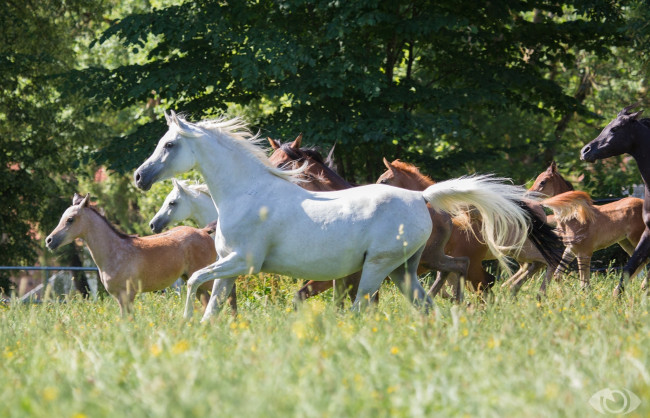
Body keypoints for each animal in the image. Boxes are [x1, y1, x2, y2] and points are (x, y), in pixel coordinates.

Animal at [43, 194, 235, 316]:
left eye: (70, 219)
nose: (49, 240)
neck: (114, 252)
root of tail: (203, 231)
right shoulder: (119, 297)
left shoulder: (127, 295)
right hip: (192, 279)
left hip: (204, 276)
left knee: (228, 291)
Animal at [135, 111, 532, 320]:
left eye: (169, 144)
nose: (140, 177)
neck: (247, 194)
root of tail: (421, 197)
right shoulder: (228, 266)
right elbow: (212, 302)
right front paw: (199, 328)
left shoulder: (240, 262)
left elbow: (192, 281)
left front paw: (185, 320)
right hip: (404, 270)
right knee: (426, 304)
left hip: (377, 267)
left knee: (360, 308)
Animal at [374, 158, 560, 298]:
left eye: (384, 181)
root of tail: (537, 208)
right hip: (518, 253)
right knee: (531, 267)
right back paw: (512, 290)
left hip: (523, 250)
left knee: (548, 261)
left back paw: (539, 294)